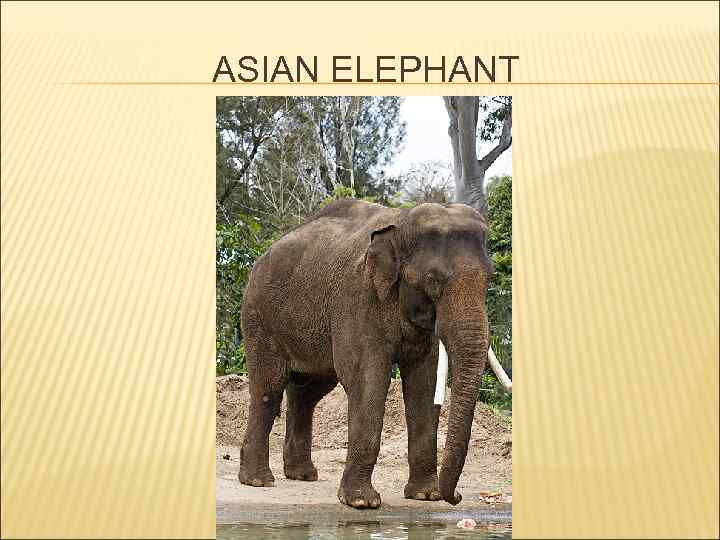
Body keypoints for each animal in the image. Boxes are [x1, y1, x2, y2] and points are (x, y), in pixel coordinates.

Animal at [238, 199, 502, 509]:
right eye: (433, 280)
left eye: (489, 279)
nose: (458, 497)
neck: (401, 224)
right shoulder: (359, 299)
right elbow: (367, 380)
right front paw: (361, 502)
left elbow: (423, 384)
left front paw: (426, 496)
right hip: (259, 317)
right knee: (269, 387)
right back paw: (258, 480)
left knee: (309, 392)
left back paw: (302, 475)